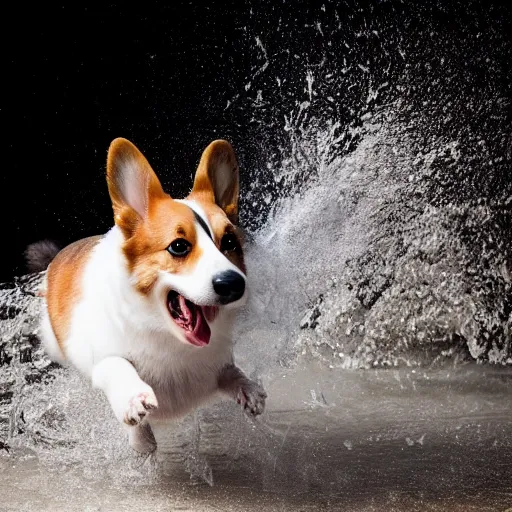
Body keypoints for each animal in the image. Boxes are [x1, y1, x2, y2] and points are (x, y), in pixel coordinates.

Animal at [31, 139, 266, 452]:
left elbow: (231, 371)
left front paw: (249, 390)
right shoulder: (103, 360)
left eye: (229, 242)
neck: (169, 339)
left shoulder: (216, 365)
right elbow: (117, 366)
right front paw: (136, 409)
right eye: (178, 246)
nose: (234, 284)